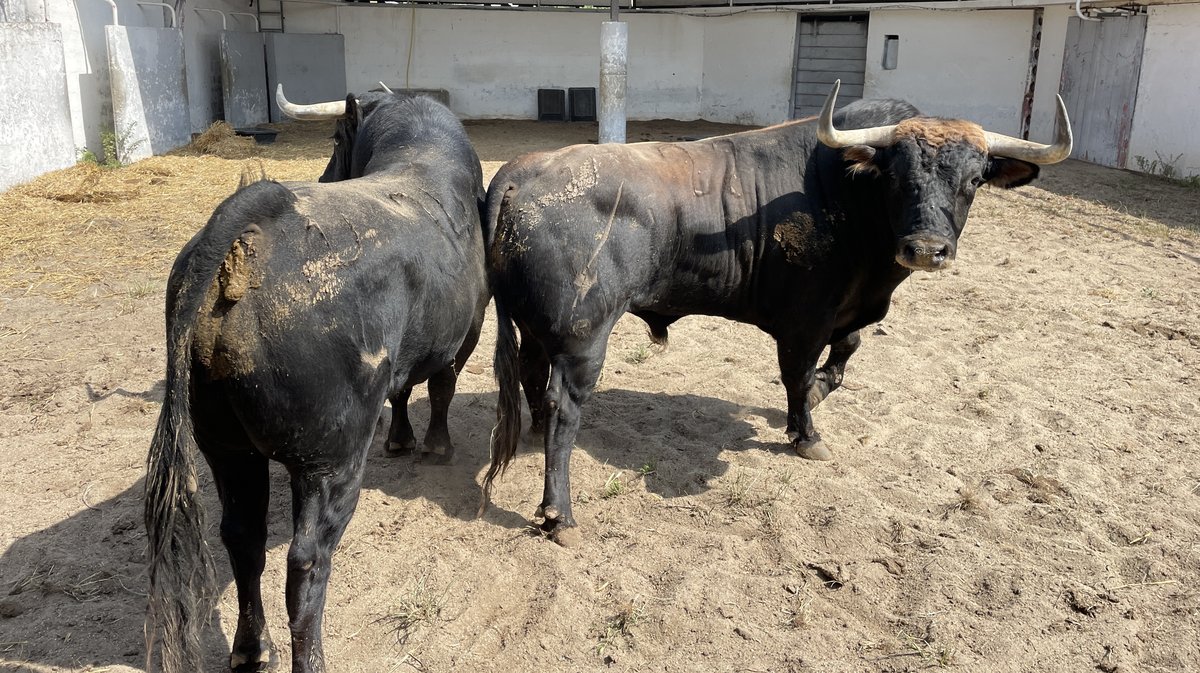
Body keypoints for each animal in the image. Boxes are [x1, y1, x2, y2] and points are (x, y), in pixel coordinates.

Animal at [144, 90, 487, 671]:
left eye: (335, 141)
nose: (327, 174)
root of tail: (255, 227)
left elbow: (405, 391)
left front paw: (402, 440)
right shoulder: (467, 330)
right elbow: (441, 388)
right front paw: (436, 446)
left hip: (224, 443)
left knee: (242, 538)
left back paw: (251, 649)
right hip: (330, 458)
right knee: (307, 560)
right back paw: (312, 658)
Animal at [477, 86, 1070, 542]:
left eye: (973, 180)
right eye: (898, 177)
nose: (926, 249)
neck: (844, 196)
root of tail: (520, 172)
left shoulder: (844, 313)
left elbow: (846, 349)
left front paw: (822, 393)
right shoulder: (804, 320)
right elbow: (798, 375)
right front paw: (806, 433)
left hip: (537, 327)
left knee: (531, 373)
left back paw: (533, 436)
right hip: (583, 337)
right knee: (564, 407)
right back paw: (560, 515)